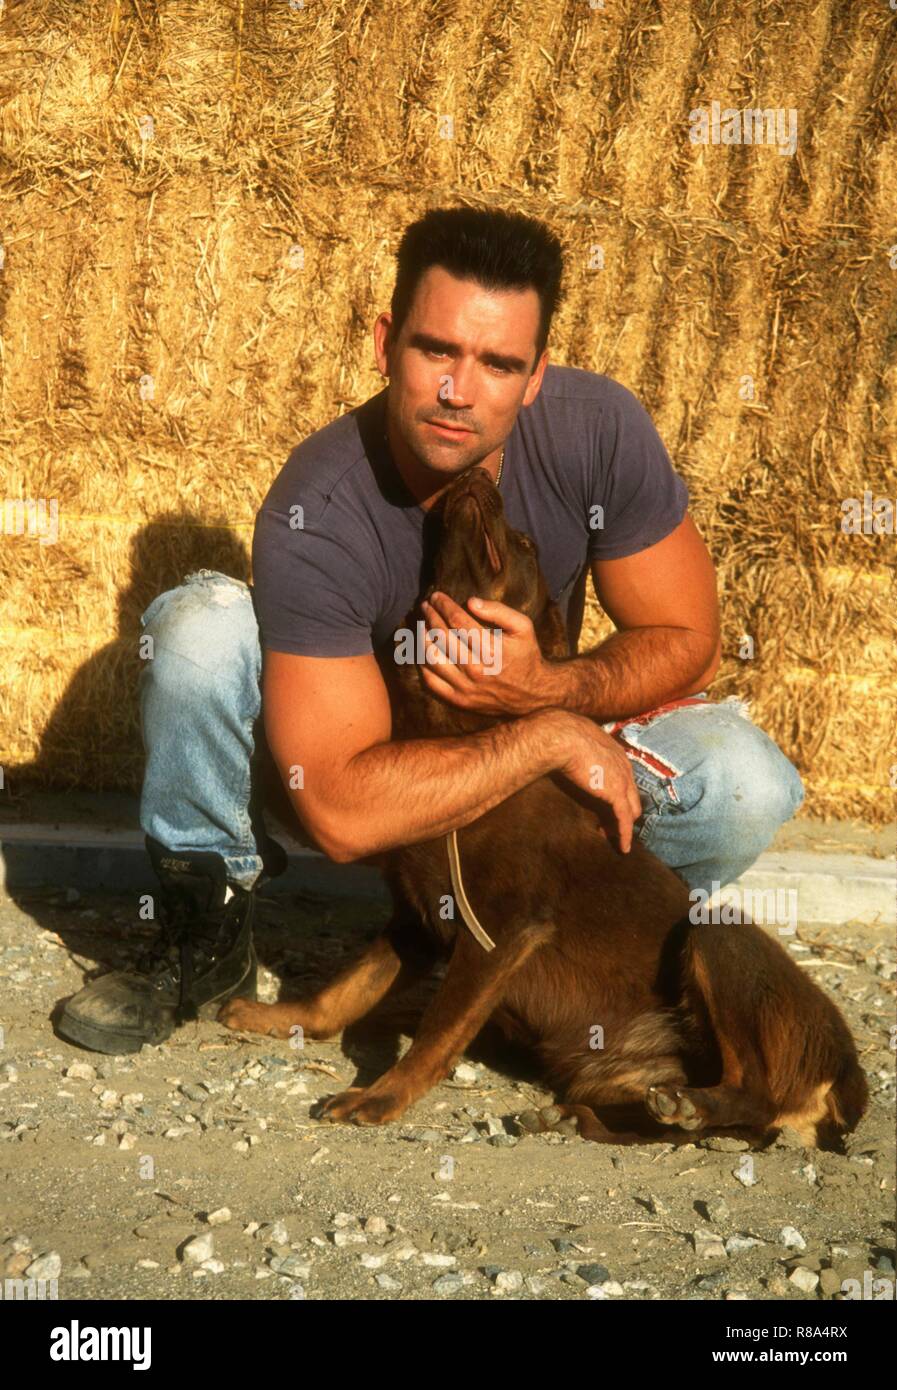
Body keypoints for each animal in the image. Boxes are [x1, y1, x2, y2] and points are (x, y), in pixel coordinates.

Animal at [218, 469, 867, 1150]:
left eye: (525, 543)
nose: (477, 474)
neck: (466, 735)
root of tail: (849, 1074)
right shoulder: (417, 921)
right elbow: (341, 994)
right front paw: (274, 1016)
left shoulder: (498, 932)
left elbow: (435, 1034)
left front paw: (379, 1097)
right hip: (614, 1070)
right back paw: (583, 1115)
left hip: (716, 934)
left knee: (754, 1094)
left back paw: (692, 1104)